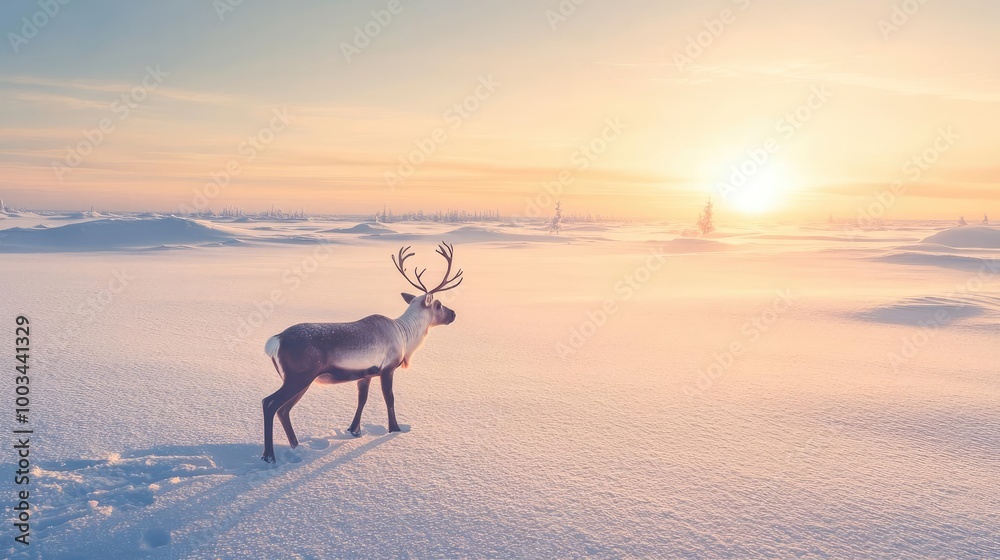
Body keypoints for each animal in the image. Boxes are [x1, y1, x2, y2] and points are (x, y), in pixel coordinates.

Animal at [260, 242, 463, 463]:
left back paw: (296, 446)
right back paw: (269, 456)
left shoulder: (365, 375)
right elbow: (389, 398)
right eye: (438, 304)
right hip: (298, 377)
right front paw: (395, 429)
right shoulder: (388, 369)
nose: (454, 314)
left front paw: (354, 430)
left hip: (300, 381)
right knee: (269, 403)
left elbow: (362, 400)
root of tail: (276, 340)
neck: (405, 335)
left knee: (283, 410)